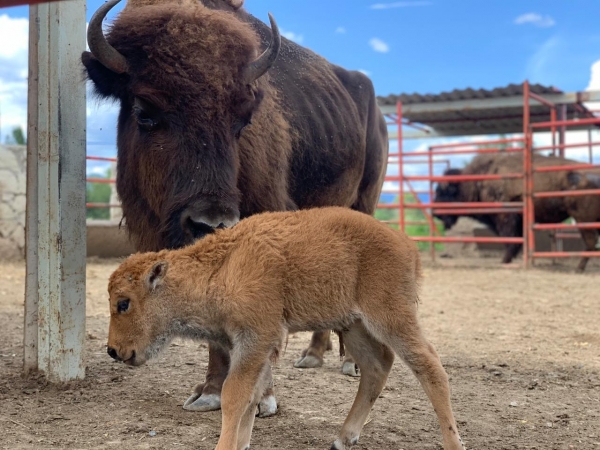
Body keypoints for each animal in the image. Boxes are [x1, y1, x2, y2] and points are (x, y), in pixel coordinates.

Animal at [82, 0, 386, 414]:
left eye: (243, 120)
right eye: (145, 111)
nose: (211, 222)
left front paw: (261, 399)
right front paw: (209, 391)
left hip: (364, 204)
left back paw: (350, 362)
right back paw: (313, 355)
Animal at [106, 207, 464, 450]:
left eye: (123, 303)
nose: (113, 350)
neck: (223, 265)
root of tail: (408, 245)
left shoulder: (256, 338)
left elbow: (234, 394)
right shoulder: (254, 348)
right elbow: (251, 396)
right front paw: (242, 443)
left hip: (391, 317)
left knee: (430, 366)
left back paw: (452, 442)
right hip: (353, 326)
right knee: (378, 366)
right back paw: (342, 438)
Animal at [434, 153, 600, 272]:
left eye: (443, 192)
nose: (435, 212)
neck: (476, 182)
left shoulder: (505, 218)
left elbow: (510, 240)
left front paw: (504, 260)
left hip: (583, 220)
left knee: (590, 244)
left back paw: (578, 268)